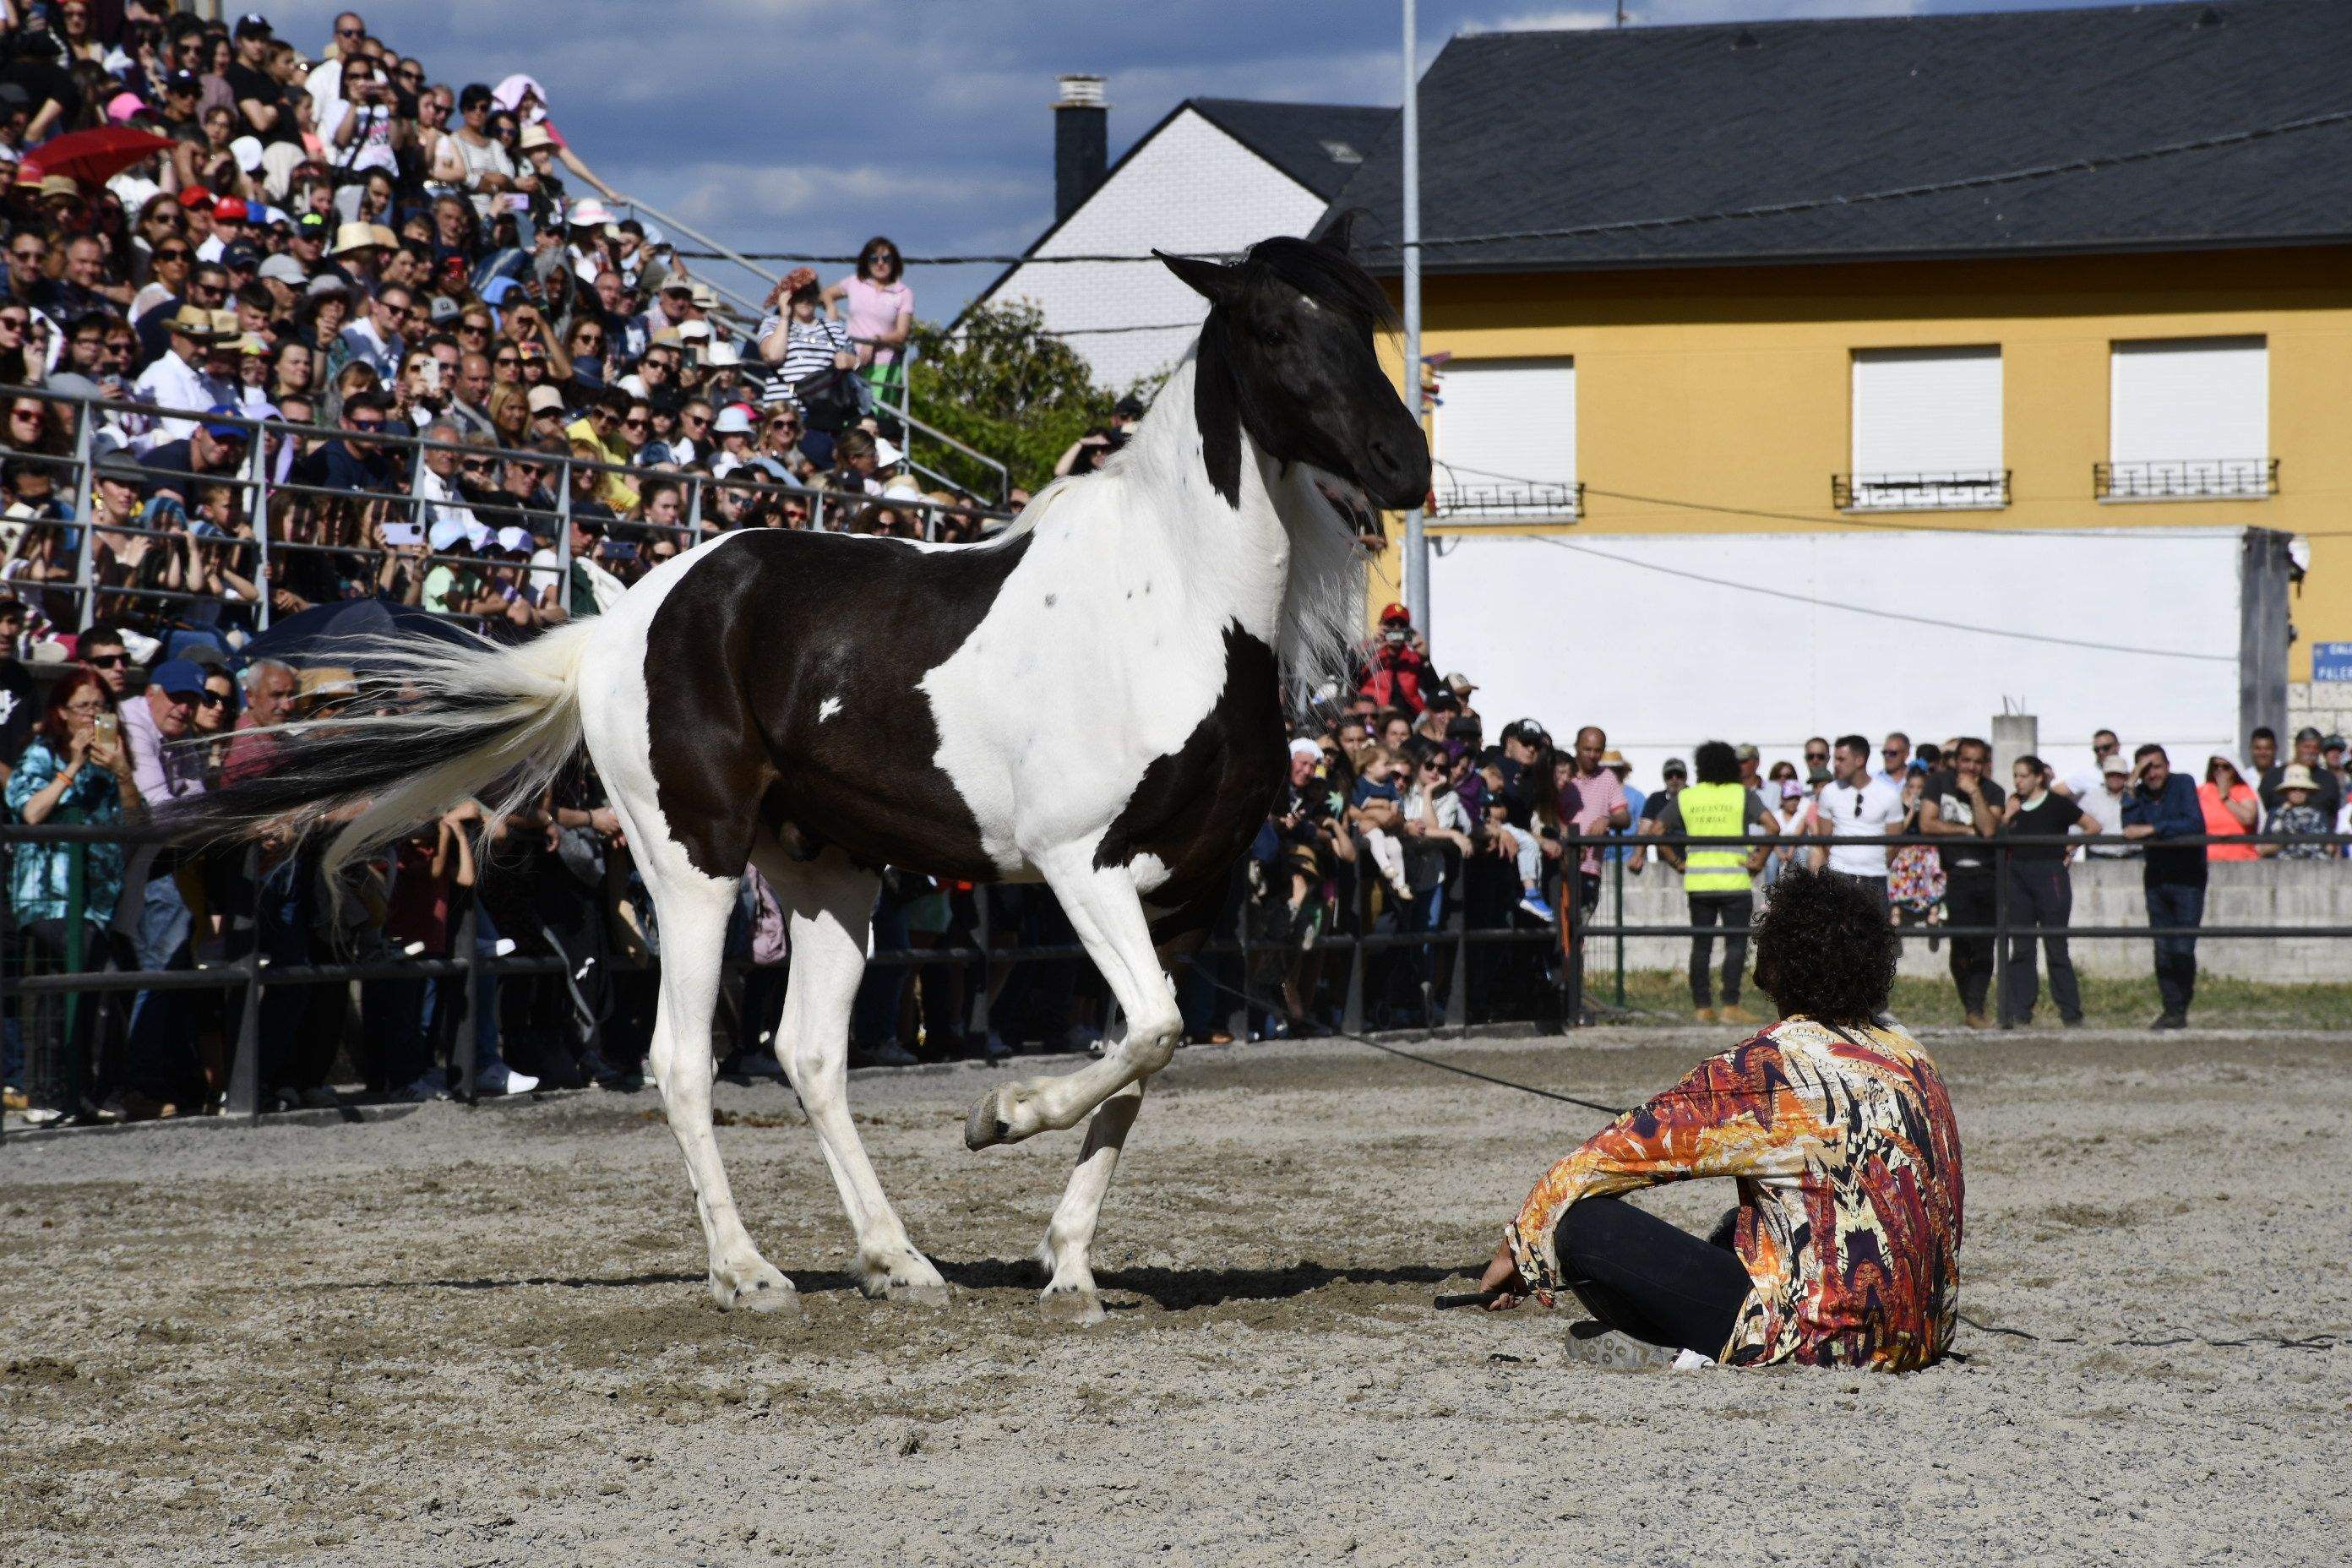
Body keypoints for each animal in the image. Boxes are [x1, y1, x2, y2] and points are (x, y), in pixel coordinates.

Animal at [174, 223, 1420, 1326]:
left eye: (1365, 320)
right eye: (1272, 325)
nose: (1403, 464)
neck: (1175, 606)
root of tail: (622, 623)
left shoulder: (1191, 897)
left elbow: (1149, 1053)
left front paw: (1066, 1264)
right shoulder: (1082, 866)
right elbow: (1146, 1032)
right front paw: (999, 1116)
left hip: (832, 875)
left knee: (809, 1053)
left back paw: (896, 1262)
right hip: (692, 864)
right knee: (682, 1059)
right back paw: (749, 1275)